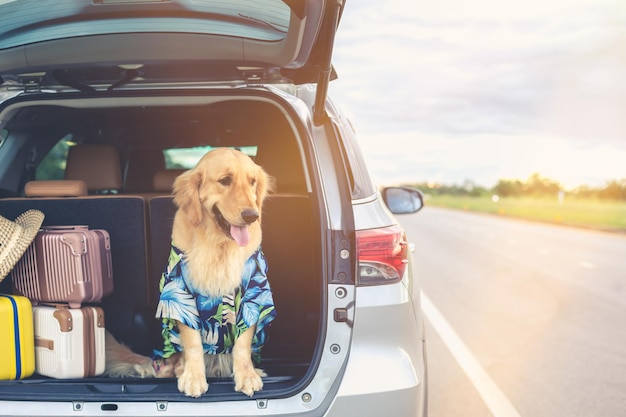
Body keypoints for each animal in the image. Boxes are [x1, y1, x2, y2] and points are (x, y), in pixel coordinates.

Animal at [105, 147, 276, 396]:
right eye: (225, 180)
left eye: (252, 182)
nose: (252, 215)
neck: (218, 244)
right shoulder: (179, 292)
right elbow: (193, 342)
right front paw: (193, 378)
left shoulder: (254, 294)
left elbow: (243, 343)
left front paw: (247, 376)